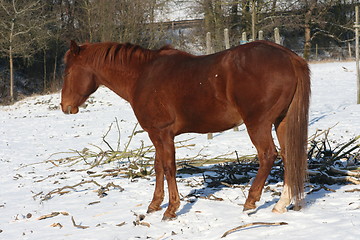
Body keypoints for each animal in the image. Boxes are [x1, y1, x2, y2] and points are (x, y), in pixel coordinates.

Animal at [61, 40, 310, 220]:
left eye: (68, 72)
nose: (65, 106)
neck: (142, 76)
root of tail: (289, 57)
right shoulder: (157, 135)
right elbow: (158, 166)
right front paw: (154, 204)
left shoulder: (161, 133)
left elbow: (169, 167)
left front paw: (171, 209)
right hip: (281, 122)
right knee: (289, 156)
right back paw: (281, 204)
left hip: (257, 124)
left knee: (268, 155)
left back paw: (250, 201)